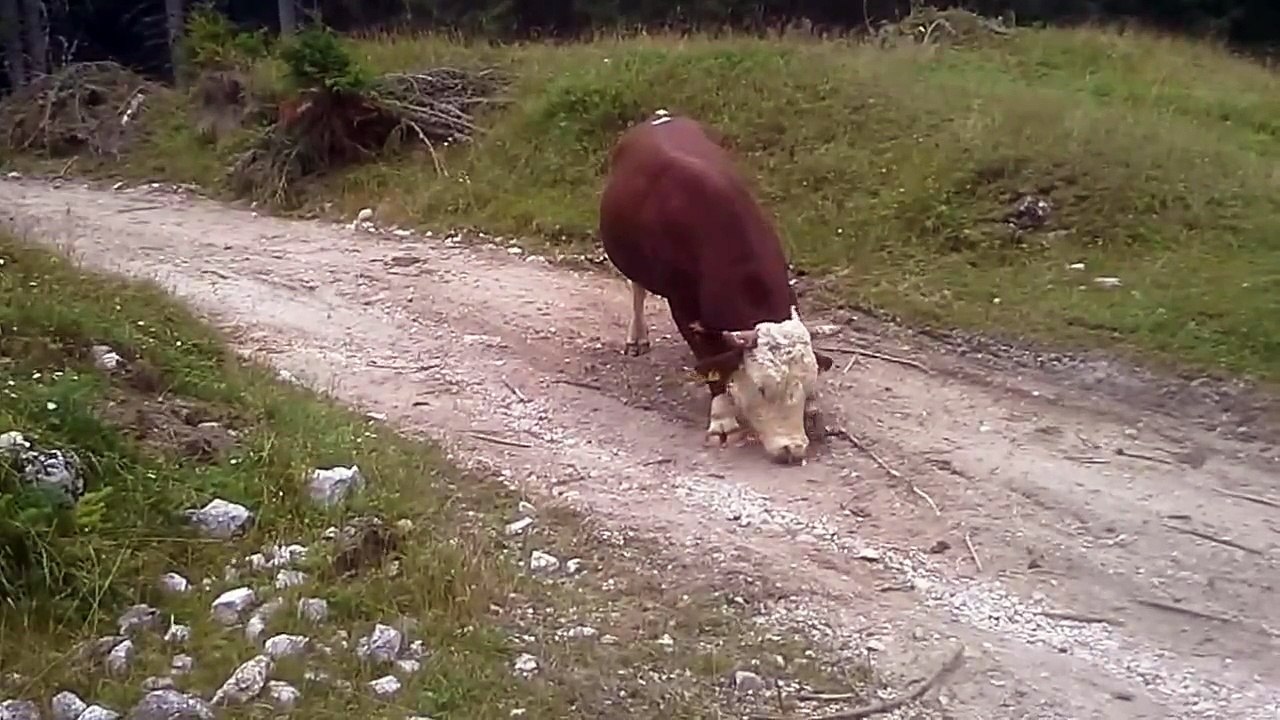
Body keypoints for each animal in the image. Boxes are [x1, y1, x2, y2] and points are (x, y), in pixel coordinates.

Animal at [598, 112, 835, 465]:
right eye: (762, 388)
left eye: (805, 386)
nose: (792, 448)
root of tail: (662, 116)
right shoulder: (683, 306)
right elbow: (713, 365)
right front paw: (723, 420)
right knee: (638, 290)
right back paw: (636, 337)